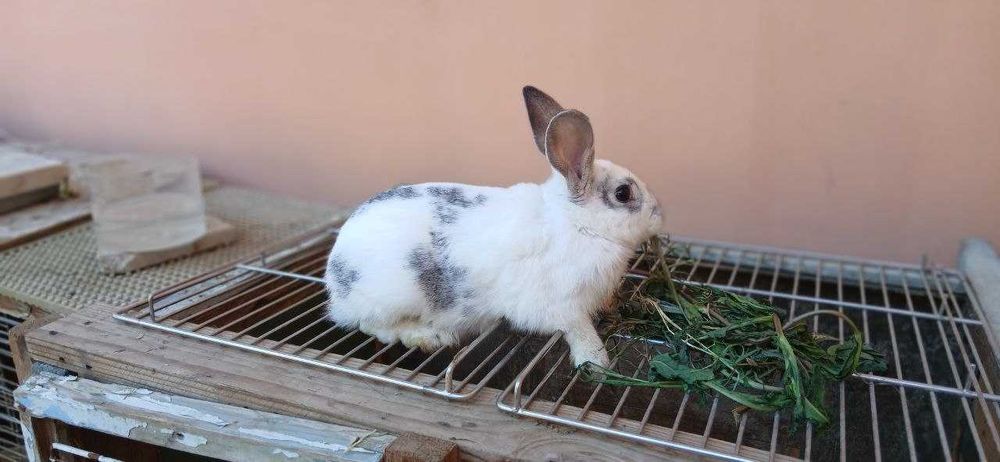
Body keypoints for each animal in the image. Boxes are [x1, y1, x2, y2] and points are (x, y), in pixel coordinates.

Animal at [324, 86, 663, 368]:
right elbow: (578, 330)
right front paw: (596, 362)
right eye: (623, 193)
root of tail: (334, 276)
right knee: (371, 325)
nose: (659, 213)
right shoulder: (562, 306)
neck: (575, 223)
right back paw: (428, 336)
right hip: (392, 297)